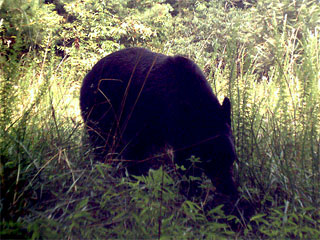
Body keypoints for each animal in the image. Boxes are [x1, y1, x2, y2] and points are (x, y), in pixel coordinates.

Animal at [80, 47, 238, 199]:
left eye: (231, 158)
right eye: (213, 160)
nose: (230, 190)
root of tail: (90, 72)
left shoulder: (181, 132)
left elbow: (185, 161)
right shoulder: (143, 110)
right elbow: (134, 148)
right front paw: (134, 180)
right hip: (99, 104)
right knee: (100, 139)